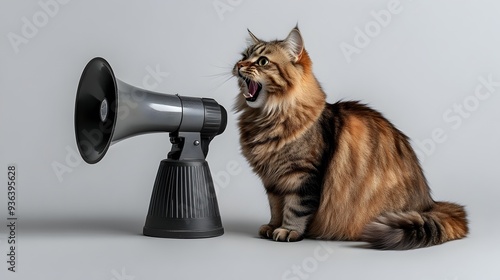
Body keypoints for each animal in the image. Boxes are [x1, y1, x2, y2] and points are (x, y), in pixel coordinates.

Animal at [232, 26, 466, 249]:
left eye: (262, 61)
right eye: (244, 56)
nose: (239, 65)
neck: (266, 117)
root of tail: (430, 204)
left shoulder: (302, 175)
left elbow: (295, 209)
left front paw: (288, 230)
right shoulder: (272, 182)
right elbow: (276, 207)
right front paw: (272, 226)